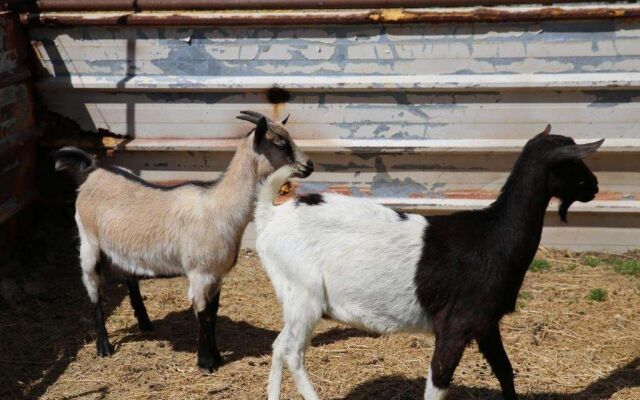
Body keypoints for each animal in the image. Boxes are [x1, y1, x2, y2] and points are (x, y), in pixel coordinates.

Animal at [53, 110, 314, 372]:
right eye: (280, 143)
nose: (309, 165)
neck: (219, 207)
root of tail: (93, 171)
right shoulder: (200, 272)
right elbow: (204, 314)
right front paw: (206, 362)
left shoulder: (216, 274)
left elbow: (213, 312)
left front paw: (216, 356)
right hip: (89, 240)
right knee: (93, 287)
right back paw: (103, 346)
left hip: (121, 247)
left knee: (128, 276)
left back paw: (145, 323)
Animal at [254, 126, 600, 400]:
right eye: (572, 162)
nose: (595, 186)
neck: (493, 234)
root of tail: (270, 215)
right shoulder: (456, 325)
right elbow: (439, 380)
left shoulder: (485, 323)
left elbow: (505, 370)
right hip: (304, 294)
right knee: (292, 352)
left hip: (294, 299)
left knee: (278, 345)